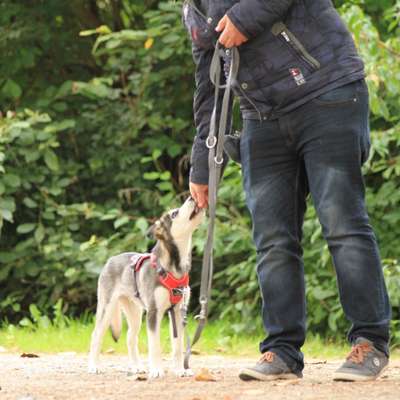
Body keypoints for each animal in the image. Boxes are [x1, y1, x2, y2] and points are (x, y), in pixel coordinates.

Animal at [88, 197, 206, 378]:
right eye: (174, 213)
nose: (192, 197)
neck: (173, 267)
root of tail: (110, 260)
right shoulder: (153, 312)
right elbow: (155, 346)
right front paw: (156, 370)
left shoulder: (177, 311)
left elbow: (177, 347)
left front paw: (180, 370)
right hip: (106, 308)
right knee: (96, 335)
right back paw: (94, 366)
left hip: (135, 312)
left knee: (130, 337)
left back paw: (136, 367)